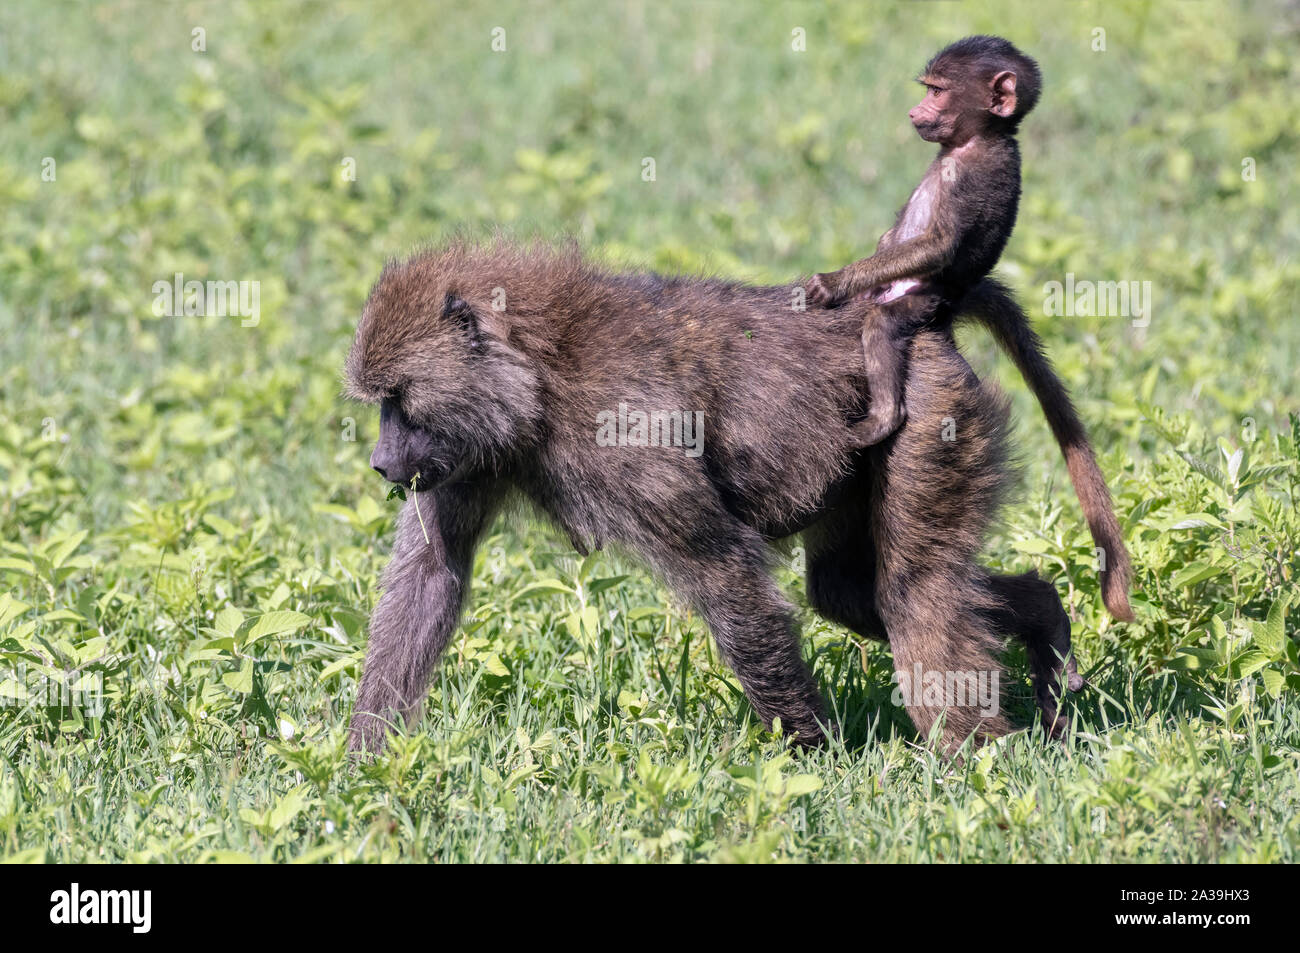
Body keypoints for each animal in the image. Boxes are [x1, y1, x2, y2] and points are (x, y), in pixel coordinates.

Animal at [343, 239, 1121, 755]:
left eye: (399, 400)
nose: (382, 465)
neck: (541, 370)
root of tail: (914, 318)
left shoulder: (626, 435)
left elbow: (725, 577)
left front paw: (812, 756)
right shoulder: (460, 459)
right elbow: (431, 574)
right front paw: (365, 765)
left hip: (929, 415)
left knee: (915, 592)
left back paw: (979, 760)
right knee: (851, 593)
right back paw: (1043, 624)